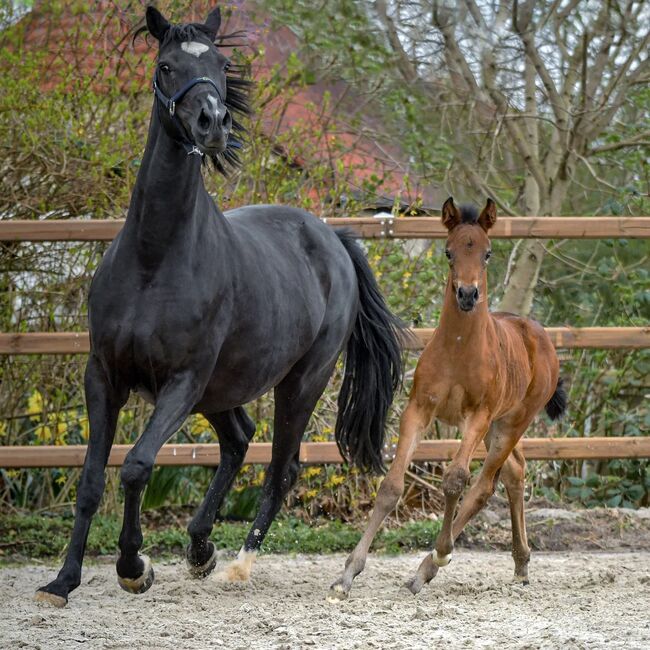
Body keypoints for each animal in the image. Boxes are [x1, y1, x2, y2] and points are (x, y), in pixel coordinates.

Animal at [35, 5, 402, 604]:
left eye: (222, 66)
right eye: (166, 65)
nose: (212, 123)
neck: (155, 257)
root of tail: (333, 237)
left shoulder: (181, 381)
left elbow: (136, 467)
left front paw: (133, 567)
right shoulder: (104, 374)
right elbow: (91, 479)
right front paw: (63, 581)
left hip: (297, 383)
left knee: (280, 468)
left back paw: (237, 563)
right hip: (222, 386)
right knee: (238, 441)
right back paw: (200, 547)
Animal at [330, 196, 560, 596]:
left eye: (487, 253)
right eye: (449, 252)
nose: (467, 294)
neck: (458, 348)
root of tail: (540, 335)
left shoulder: (477, 415)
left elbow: (454, 479)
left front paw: (439, 553)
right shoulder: (418, 410)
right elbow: (391, 485)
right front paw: (348, 574)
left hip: (511, 422)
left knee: (484, 484)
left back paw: (429, 566)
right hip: (498, 425)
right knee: (514, 471)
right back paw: (521, 564)